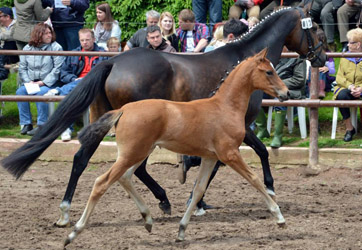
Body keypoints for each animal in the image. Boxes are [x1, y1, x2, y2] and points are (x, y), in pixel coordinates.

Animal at [63, 49, 288, 246]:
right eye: (269, 71)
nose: (286, 93)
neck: (224, 107)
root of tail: (123, 110)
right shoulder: (229, 154)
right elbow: (254, 179)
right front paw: (279, 217)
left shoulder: (210, 157)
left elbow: (198, 190)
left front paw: (181, 230)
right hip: (132, 154)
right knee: (102, 182)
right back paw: (73, 232)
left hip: (139, 152)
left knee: (125, 177)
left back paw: (148, 219)